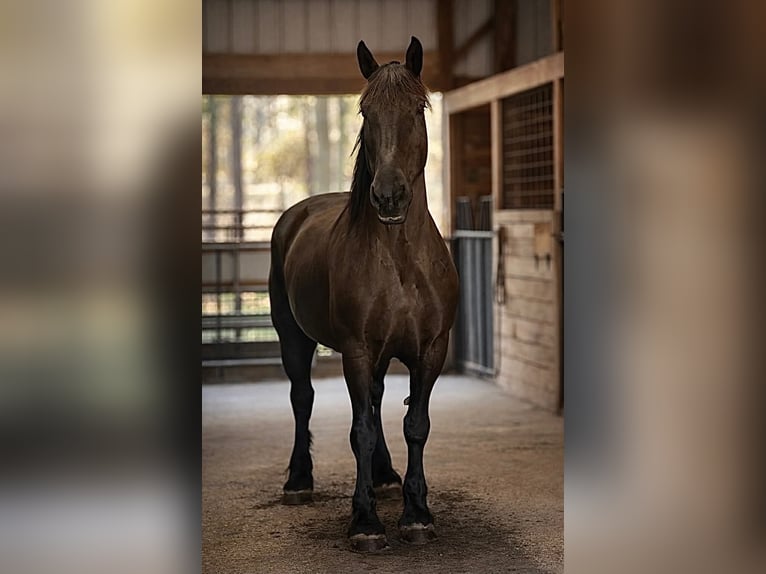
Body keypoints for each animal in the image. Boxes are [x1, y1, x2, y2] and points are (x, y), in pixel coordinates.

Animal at [269, 36, 459, 553]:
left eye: (418, 108)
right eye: (364, 111)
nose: (388, 196)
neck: (399, 263)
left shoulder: (430, 351)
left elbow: (416, 425)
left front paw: (416, 513)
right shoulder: (355, 351)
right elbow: (361, 430)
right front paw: (365, 522)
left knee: (374, 399)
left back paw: (385, 476)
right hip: (293, 338)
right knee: (302, 398)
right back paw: (299, 481)